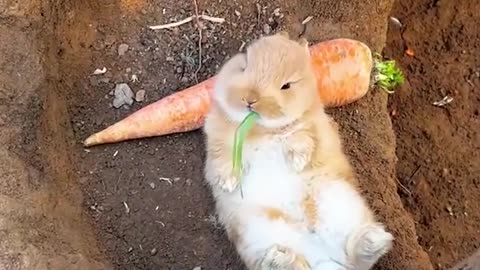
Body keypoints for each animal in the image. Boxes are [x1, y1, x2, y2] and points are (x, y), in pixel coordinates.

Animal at [202, 32, 394, 270]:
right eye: (244, 66)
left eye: (286, 85)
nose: (251, 100)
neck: (261, 128)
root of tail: (327, 257)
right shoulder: (218, 140)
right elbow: (222, 157)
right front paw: (228, 183)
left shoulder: (316, 130)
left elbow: (303, 136)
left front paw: (298, 161)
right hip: (257, 231)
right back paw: (280, 257)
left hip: (337, 198)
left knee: (355, 258)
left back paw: (375, 240)